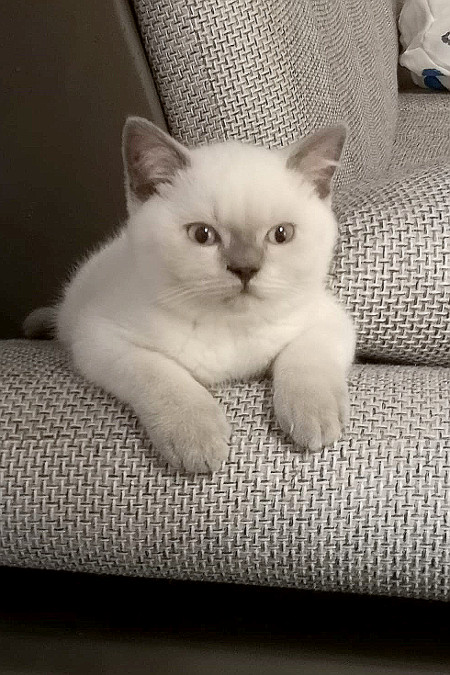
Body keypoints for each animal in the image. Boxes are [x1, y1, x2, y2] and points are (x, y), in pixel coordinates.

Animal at [26, 117, 355, 473]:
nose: (245, 269)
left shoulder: (330, 319)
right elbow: (162, 377)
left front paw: (313, 416)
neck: (229, 328)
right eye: (202, 235)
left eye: (281, 234)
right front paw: (197, 437)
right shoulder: (100, 338)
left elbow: (305, 359)